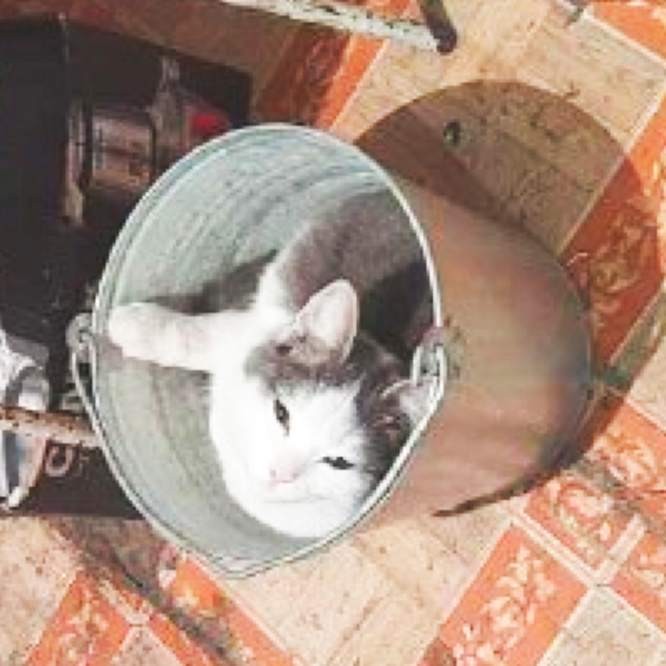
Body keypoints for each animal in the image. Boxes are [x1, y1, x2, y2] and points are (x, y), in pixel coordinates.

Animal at [107, 191, 436, 538]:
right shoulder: (258, 325)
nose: (280, 474)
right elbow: (198, 336)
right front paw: (133, 326)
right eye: (282, 414)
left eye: (339, 463)